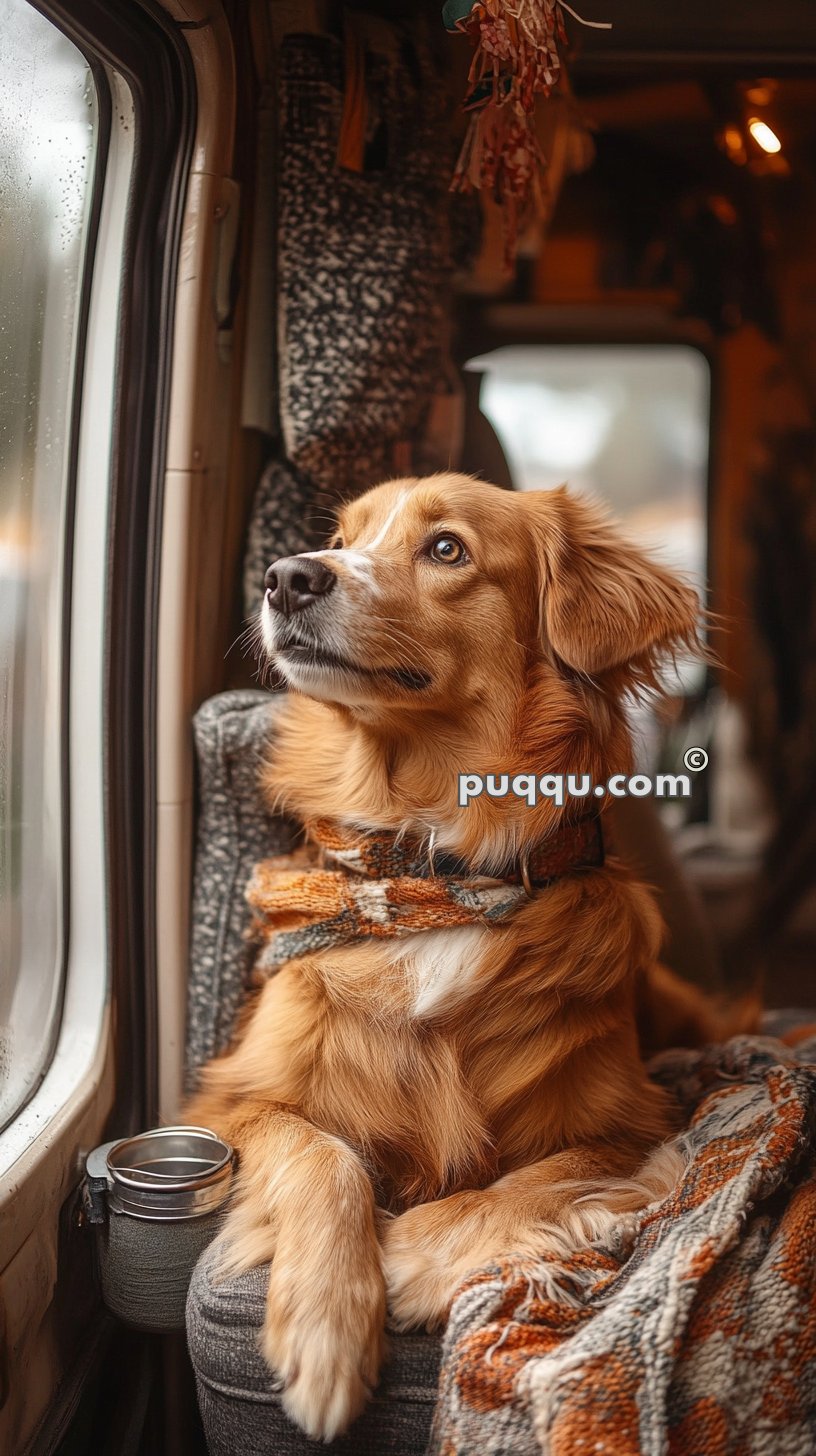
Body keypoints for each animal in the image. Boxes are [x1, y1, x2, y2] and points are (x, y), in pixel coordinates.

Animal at [185, 474, 734, 1444]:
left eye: (447, 549)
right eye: (343, 539)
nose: (289, 577)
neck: (433, 869)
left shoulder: (638, 1121)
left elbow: (527, 1184)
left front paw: (402, 1260)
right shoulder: (227, 1100)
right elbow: (321, 1151)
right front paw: (328, 1321)